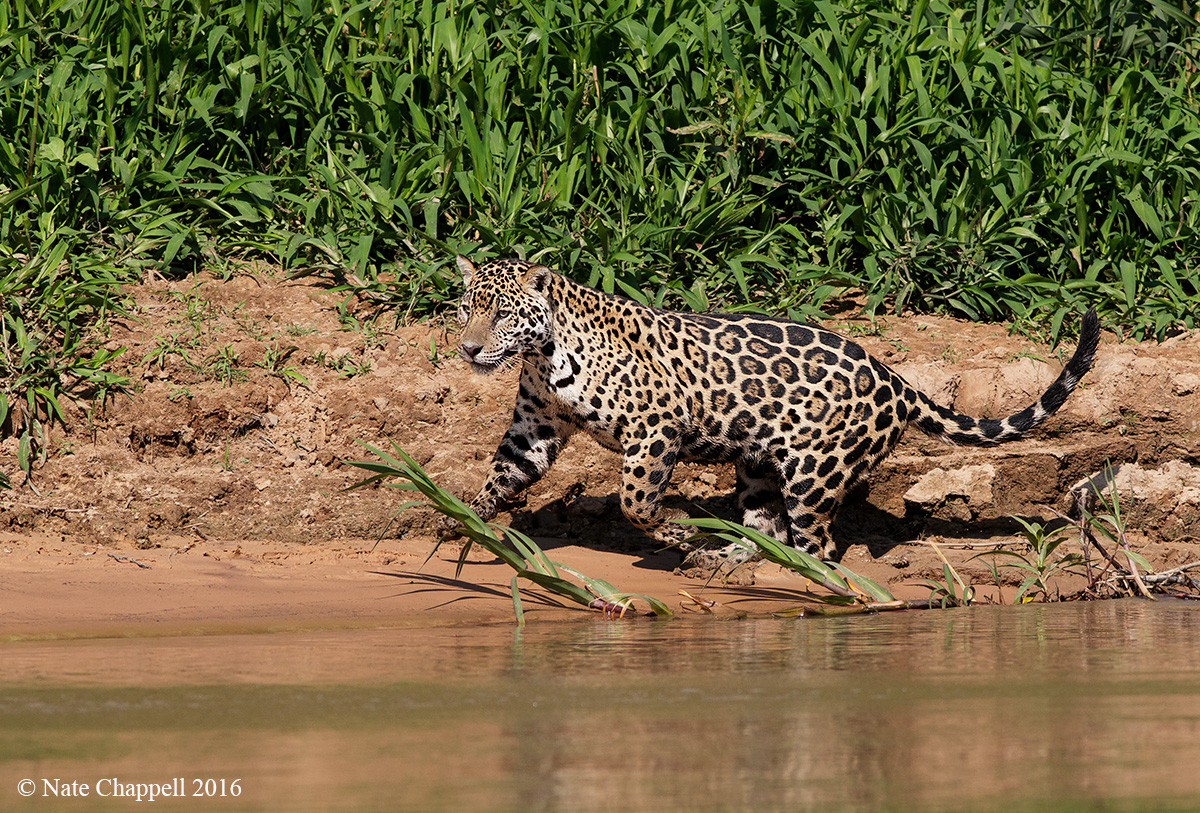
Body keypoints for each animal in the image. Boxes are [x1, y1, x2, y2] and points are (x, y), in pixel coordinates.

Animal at [445, 254, 1100, 564]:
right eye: (466, 309)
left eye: (502, 313)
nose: (470, 349)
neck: (543, 355)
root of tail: (895, 378)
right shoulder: (535, 426)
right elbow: (503, 475)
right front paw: (461, 522)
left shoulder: (657, 424)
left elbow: (636, 502)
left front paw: (675, 531)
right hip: (759, 462)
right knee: (770, 527)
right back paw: (733, 559)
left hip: (817, 473)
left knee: (820, 545)